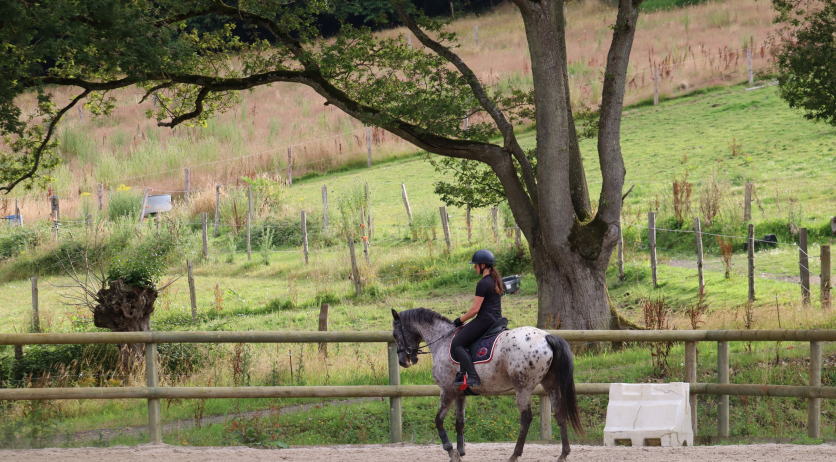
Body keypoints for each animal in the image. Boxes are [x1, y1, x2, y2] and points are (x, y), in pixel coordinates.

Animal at [390, 306, 580, 462]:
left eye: (395, 335)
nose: (403, 361)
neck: (442, 341)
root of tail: (547, 336)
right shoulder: (460, 394)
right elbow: (460, 422)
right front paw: (461, 451)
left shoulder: (447, 391)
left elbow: (438, 420)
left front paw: (451, 451)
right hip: (551, 385)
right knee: (560, 413)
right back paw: (563, 454)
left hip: (523, 387)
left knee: (526, 418)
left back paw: (514, 455)